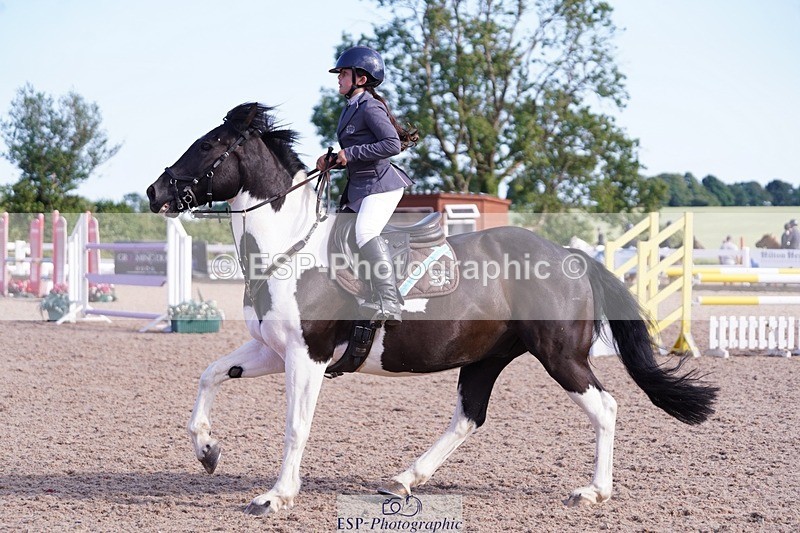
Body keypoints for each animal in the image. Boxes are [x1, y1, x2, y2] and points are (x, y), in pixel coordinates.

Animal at [146, 103, 718, 516]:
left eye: (207, 145)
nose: (155, 191)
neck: (291, 249)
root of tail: (569, 256)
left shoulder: (307, 356)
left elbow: (295, 425)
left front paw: (276, 496)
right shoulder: (272, 349)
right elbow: (209, 375)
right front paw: (207, 451)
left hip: (560, 355)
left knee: (605, 407)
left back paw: (592, 491)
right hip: (488, 356)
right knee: (469, 416)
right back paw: (403, 480)